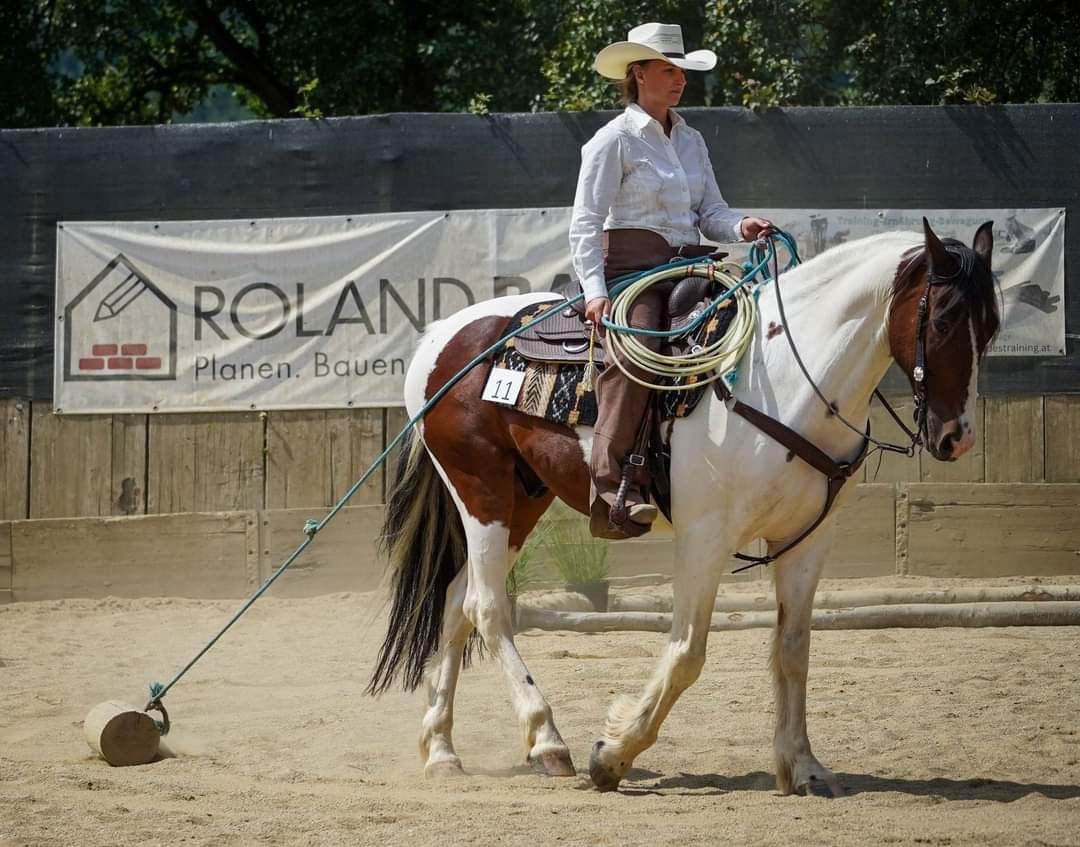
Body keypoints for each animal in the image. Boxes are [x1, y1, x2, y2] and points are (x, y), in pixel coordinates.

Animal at [367, 218, 997, 795]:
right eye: (943, 320)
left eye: (990, 326)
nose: (958, 438)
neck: (789, 378)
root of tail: (441, 335)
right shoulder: (705, 536)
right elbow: (687, 653)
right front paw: (613, 755)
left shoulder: (807, 541)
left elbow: (793, 649)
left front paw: (804, 767)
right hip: (482, 489)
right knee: (488, 607)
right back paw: (548, 741)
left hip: (524, 498)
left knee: (458, 602)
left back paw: (441, 749)